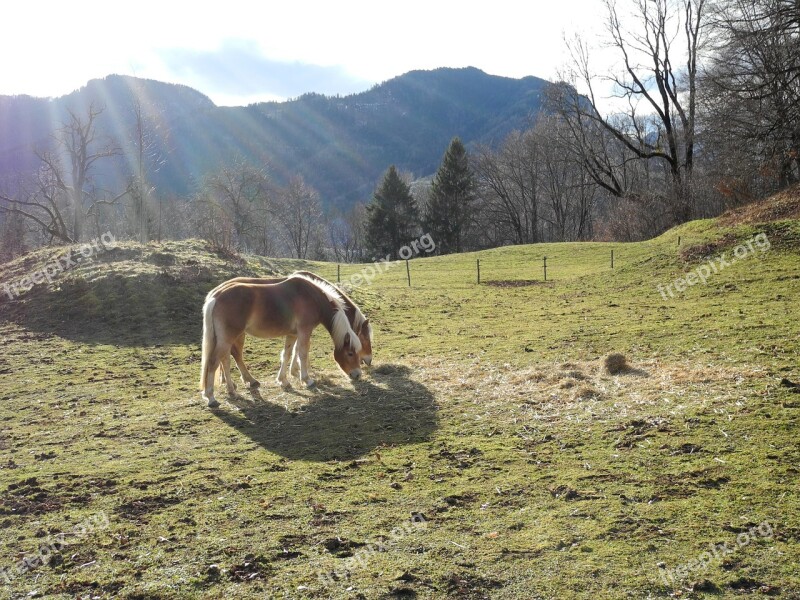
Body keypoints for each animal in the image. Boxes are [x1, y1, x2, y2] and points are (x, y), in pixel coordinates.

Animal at [200, 276, 362, 408]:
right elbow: (303, 353)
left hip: (226, 339)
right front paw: (307, 380)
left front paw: (283, 380)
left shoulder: (292, 334)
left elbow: (287, 354)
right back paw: (211, 397)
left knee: (225, 360)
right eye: (350, 353)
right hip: (227, 338)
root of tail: (215, 297)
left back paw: (232, 390)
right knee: (214, 362)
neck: (312, 298)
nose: (358, 375)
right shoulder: (304, 331)